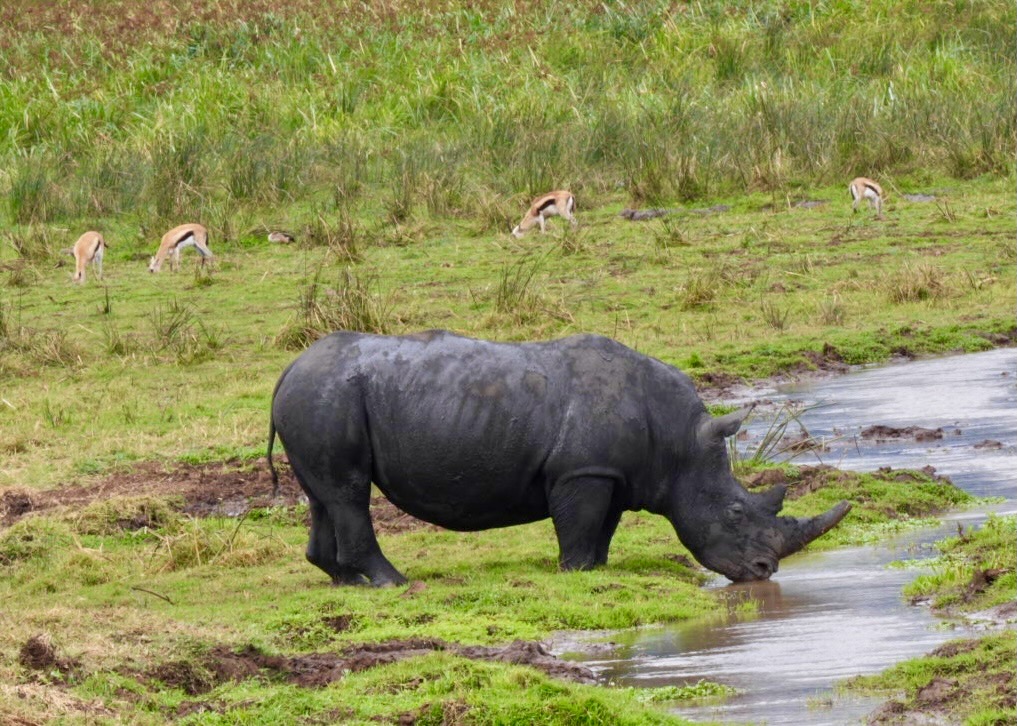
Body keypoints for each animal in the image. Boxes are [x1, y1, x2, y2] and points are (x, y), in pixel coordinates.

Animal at [267, 331, 850, 586]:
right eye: (734, 512)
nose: (765, 571)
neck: (680, 444)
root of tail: (288, 369)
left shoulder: (612, 473)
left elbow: (603, 528)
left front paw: (594, 570)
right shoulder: (582, 471)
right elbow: (579, 525)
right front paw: (573, 573)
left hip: (319, 397)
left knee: (324, 494)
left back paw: (345, 583)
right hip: (327, 395)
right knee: (349, 493)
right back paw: (394, 583)